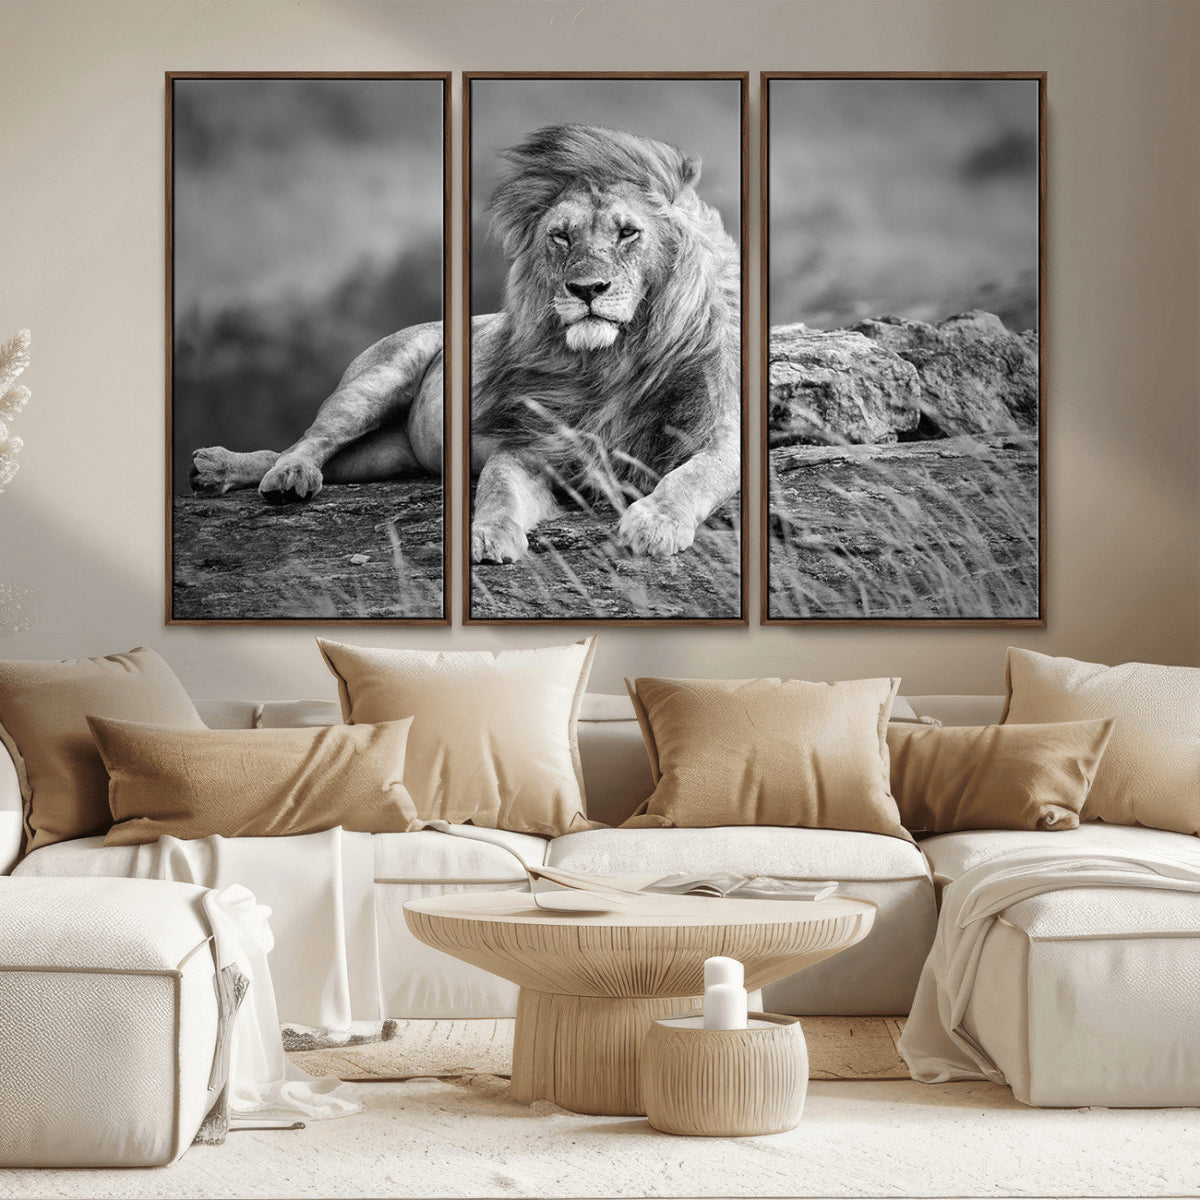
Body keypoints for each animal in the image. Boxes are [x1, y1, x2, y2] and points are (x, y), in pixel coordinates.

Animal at [190, 123, 742, 563]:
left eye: (628, 233)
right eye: (561, 237)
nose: (586, 289)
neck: (614, 361)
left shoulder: (722, 434)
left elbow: (695, 474)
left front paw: (654, 523)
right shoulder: (529, 446)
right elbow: (496, 489)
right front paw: (485, 537)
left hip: (387, 455)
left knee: (311, 454)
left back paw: (221, 471)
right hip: (376, 380)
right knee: (309, 440)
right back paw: (272, 474)